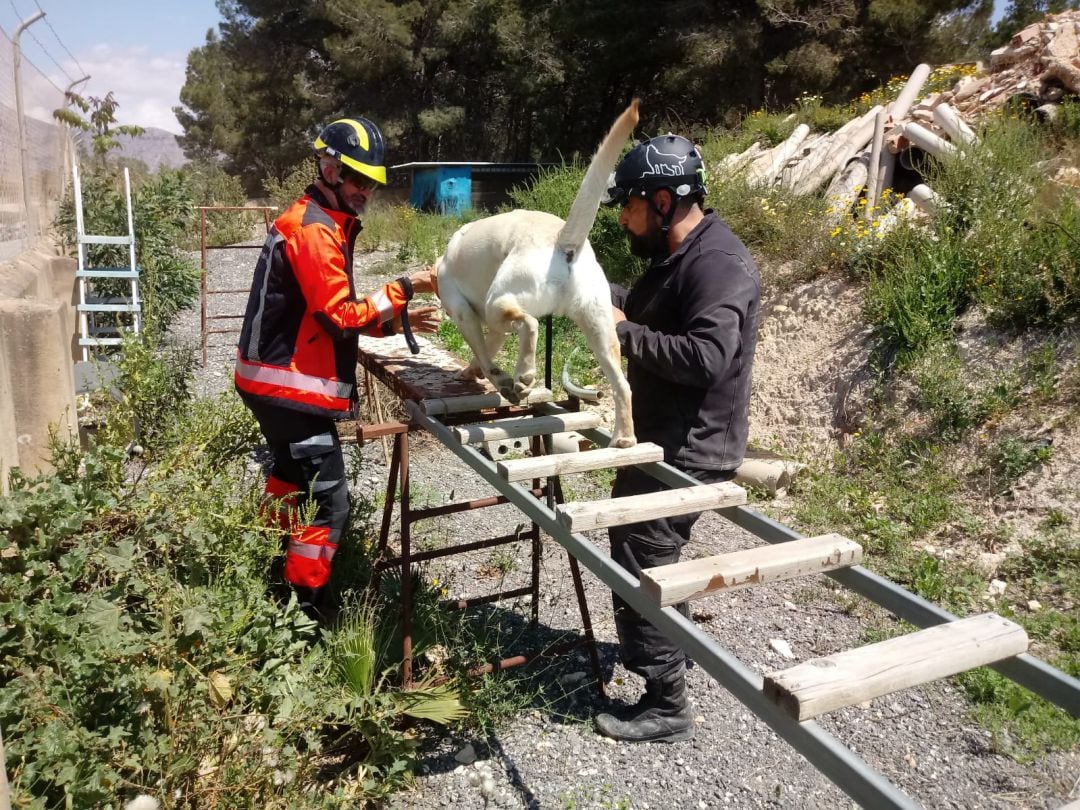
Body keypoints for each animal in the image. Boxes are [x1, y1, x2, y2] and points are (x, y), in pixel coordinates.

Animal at [432, 99, 635, 451]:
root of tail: (562, 239)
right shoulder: (491, 329)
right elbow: (486, 350)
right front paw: (472, 372)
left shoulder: (464, 314)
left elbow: (483, 353)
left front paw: (498, 378)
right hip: (599, 327)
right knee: (623, 384)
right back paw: (624, 438)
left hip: (499, 301)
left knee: (529, 323)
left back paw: (524, 375)